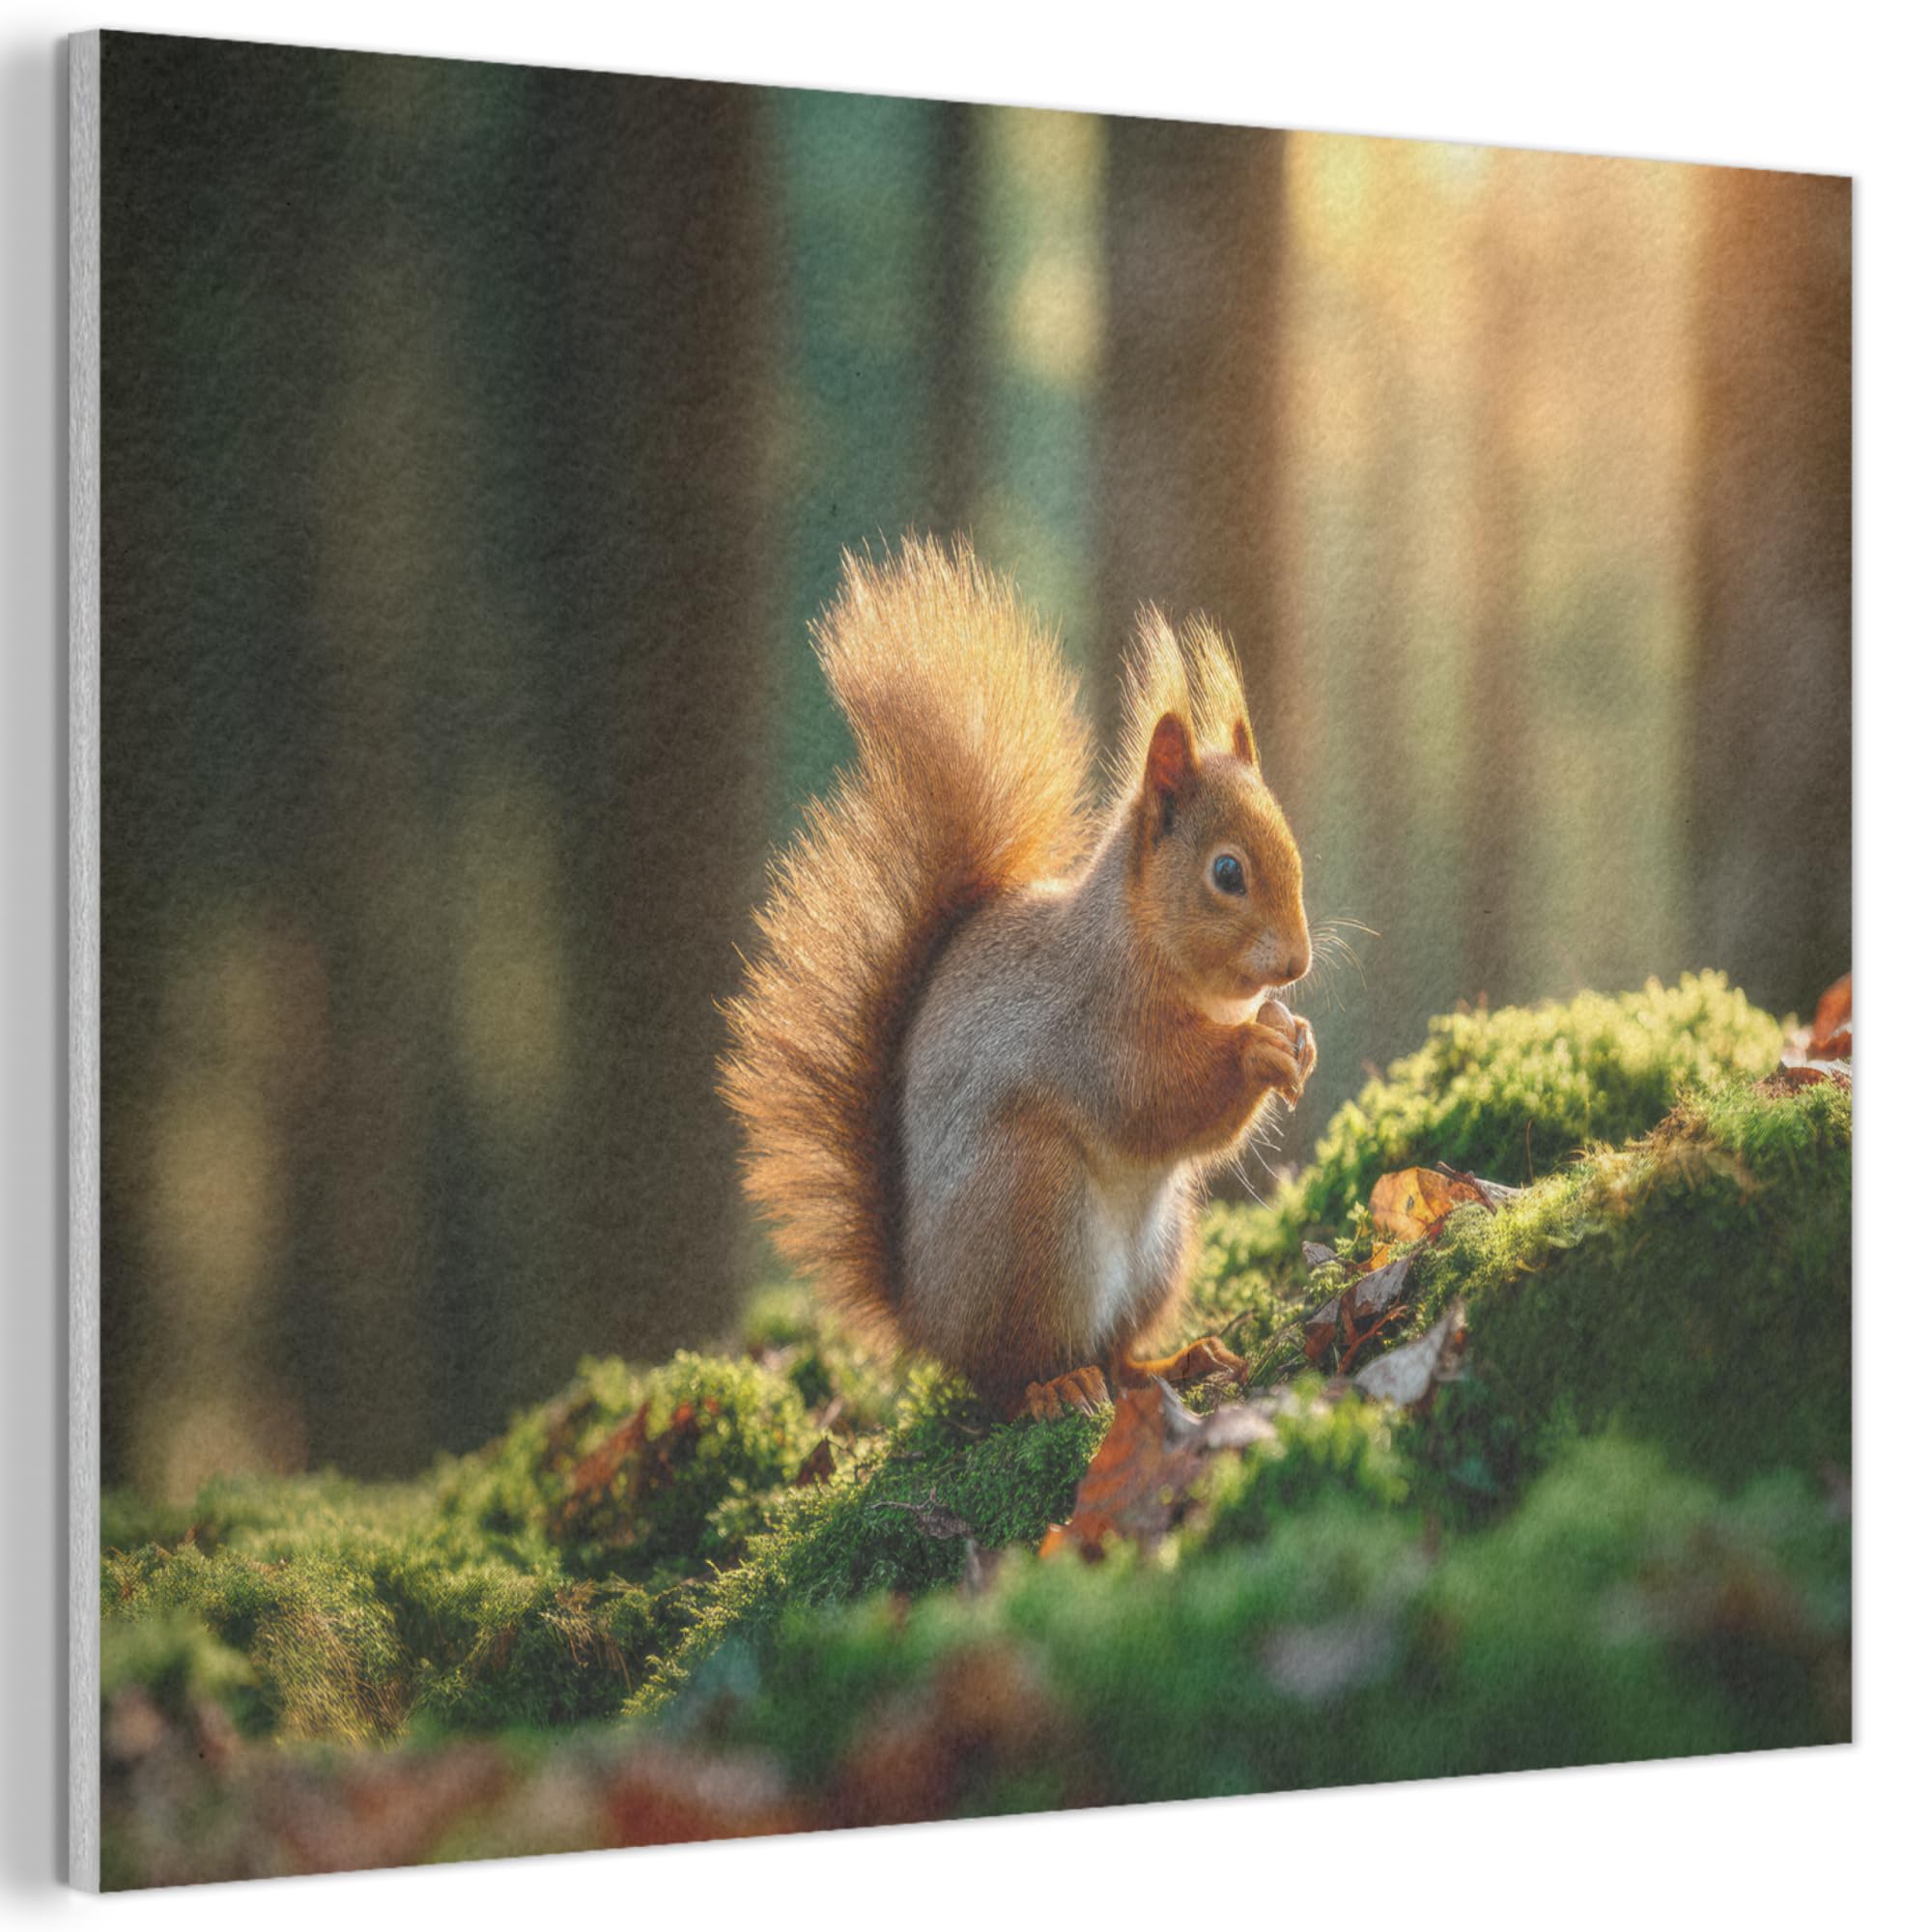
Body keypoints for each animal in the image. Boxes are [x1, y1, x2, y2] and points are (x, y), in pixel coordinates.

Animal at [721, 536, 1315, 1421]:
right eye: (1227, 873)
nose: (1299, 964)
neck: (1138, 944)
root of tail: (925, 1317)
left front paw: (1294, 1036)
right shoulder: (1090, 1025)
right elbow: (1155, 1098)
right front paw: (1257, 1050)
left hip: (1159, 1251)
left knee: (1116, 1355)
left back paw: (1174, 1362)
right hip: (1031, 1209)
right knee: (1010, 1375)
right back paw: (1053, 1387)